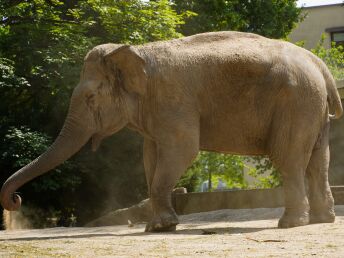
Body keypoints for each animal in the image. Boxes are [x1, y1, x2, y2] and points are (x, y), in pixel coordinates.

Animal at [1, 31, 342, 232]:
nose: (16, 199)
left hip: (296, 102)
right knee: (318, 160)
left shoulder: (173, 101)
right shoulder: (156, 111)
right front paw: (156, 227)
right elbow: (150, 157)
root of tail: (320, 64)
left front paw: (162, 227)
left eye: (91, 98)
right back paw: (322, 220)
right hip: (312, 107)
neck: (136, 52)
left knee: (289, 159)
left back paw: (290, 224)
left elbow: (182, 150)